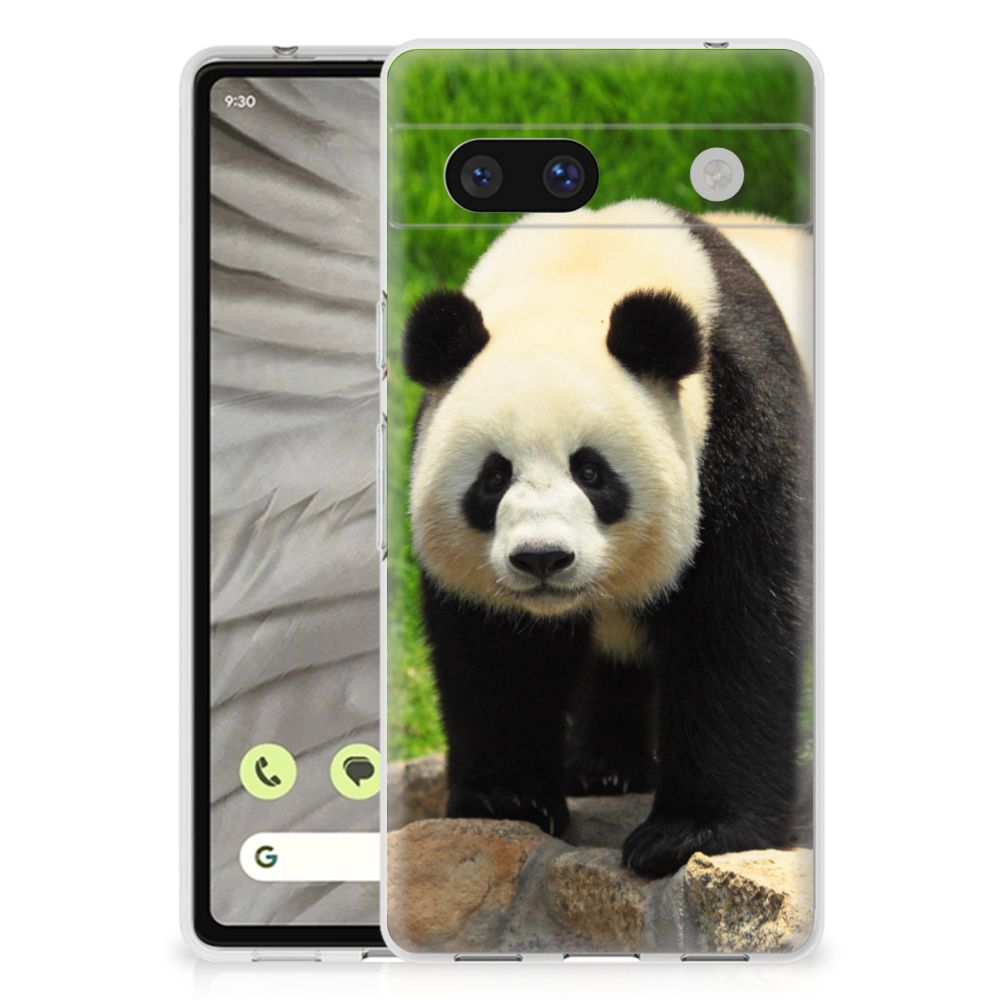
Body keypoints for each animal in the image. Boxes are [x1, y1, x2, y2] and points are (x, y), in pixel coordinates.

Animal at [401, 199, 812, 878]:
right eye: (493, 477)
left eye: (591, 472)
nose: (542, 558)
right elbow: (496, 649)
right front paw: (508, 800)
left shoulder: (741, 420)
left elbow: (737, 623)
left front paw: (689, 833)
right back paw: (605, 769)